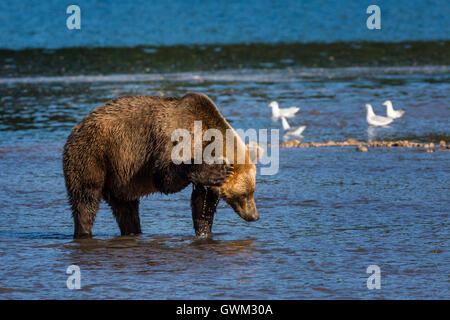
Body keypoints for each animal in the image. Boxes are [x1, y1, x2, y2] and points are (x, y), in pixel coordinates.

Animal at [62, 92, 258, 238]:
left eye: (252, 191)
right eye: (244, 194)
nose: (254, 216)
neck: (204, 142)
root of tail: (76, 128)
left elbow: (202, 203)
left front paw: (204, 231)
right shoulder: (173, 142)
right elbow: (165, 178)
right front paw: (215, 170)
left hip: (119, 176)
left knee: (126, 209)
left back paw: (133, 231)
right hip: (92, 154)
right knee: (85, 199)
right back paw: (83, 231)